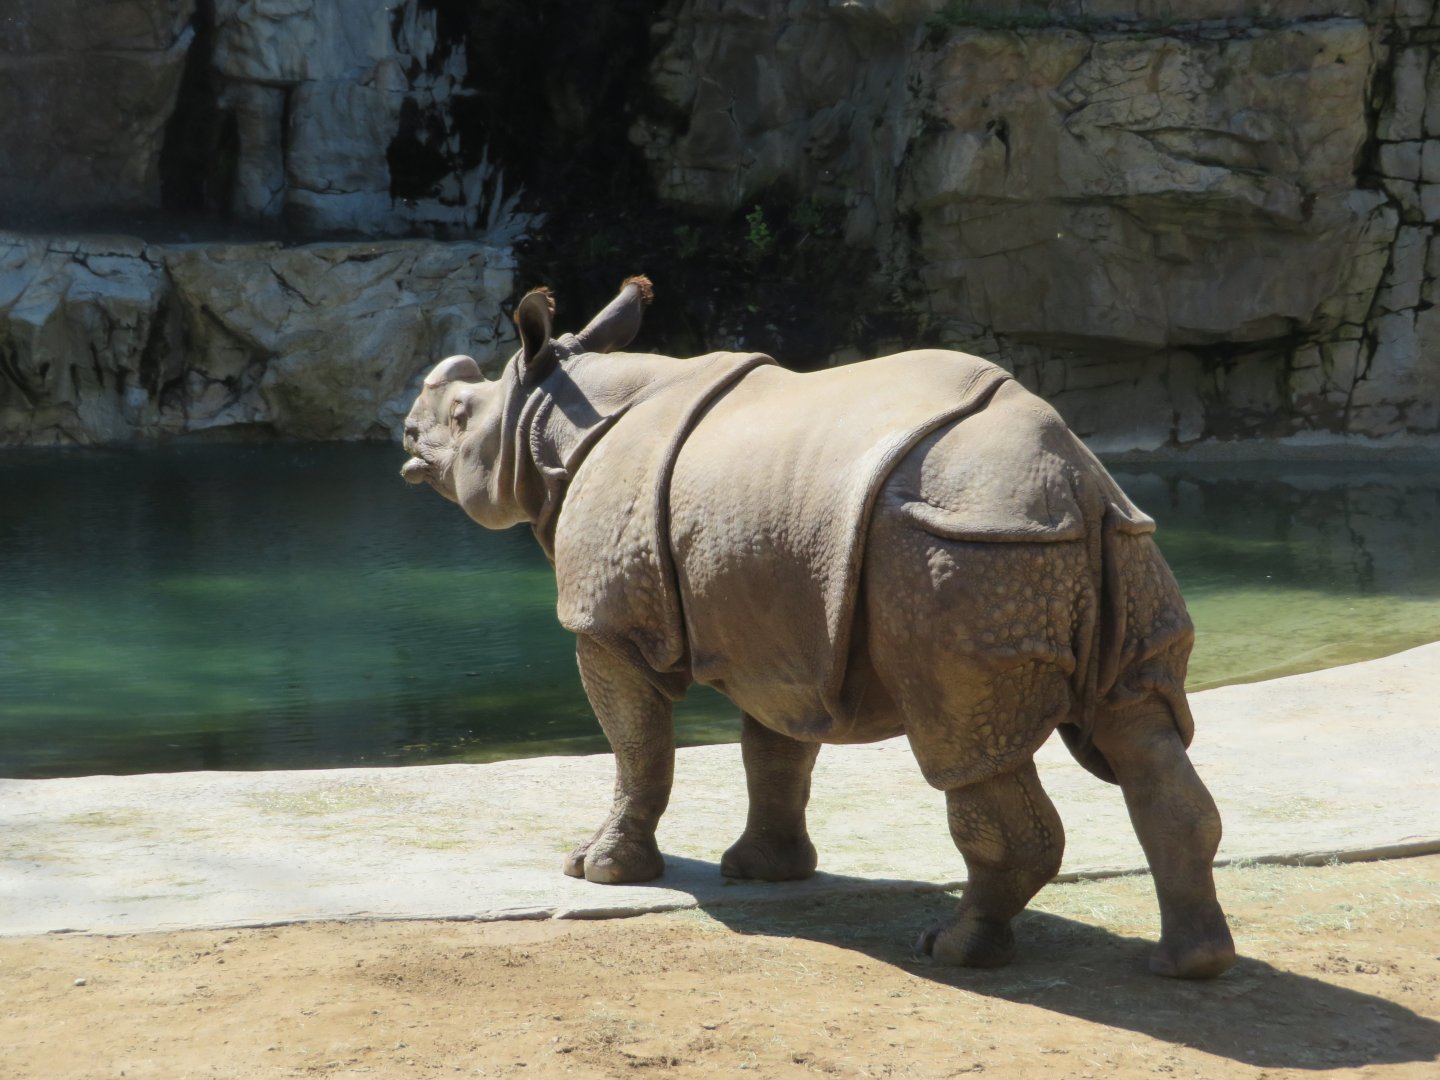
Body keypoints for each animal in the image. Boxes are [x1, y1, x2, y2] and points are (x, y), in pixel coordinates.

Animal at [400, 277, 1236, 978]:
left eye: (459, 417)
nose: (406, 434)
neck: (548, 419)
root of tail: (1073, 483)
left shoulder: (607, 621)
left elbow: (639, 746)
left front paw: (598, 869)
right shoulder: (779, 627)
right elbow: (776, 751)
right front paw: (764, 871)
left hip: (964, 551)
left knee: (966, 747)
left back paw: (951, 952)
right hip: (1114, 542)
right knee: (1143, 729)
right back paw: (1189, 966)